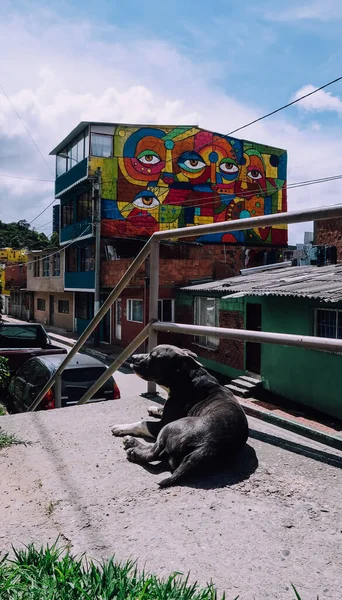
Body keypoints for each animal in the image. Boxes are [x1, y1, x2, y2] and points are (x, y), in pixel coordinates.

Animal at [111, 342, 248, 488]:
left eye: (153, 357)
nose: (133, 357)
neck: (185, 379)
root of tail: (206, 446)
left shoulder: (162, 424)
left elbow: (142, 423)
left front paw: (121, 427)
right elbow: (161, 409)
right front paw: (154, 408)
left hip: (169, 427)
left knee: (154, 452)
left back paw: (132, 447)